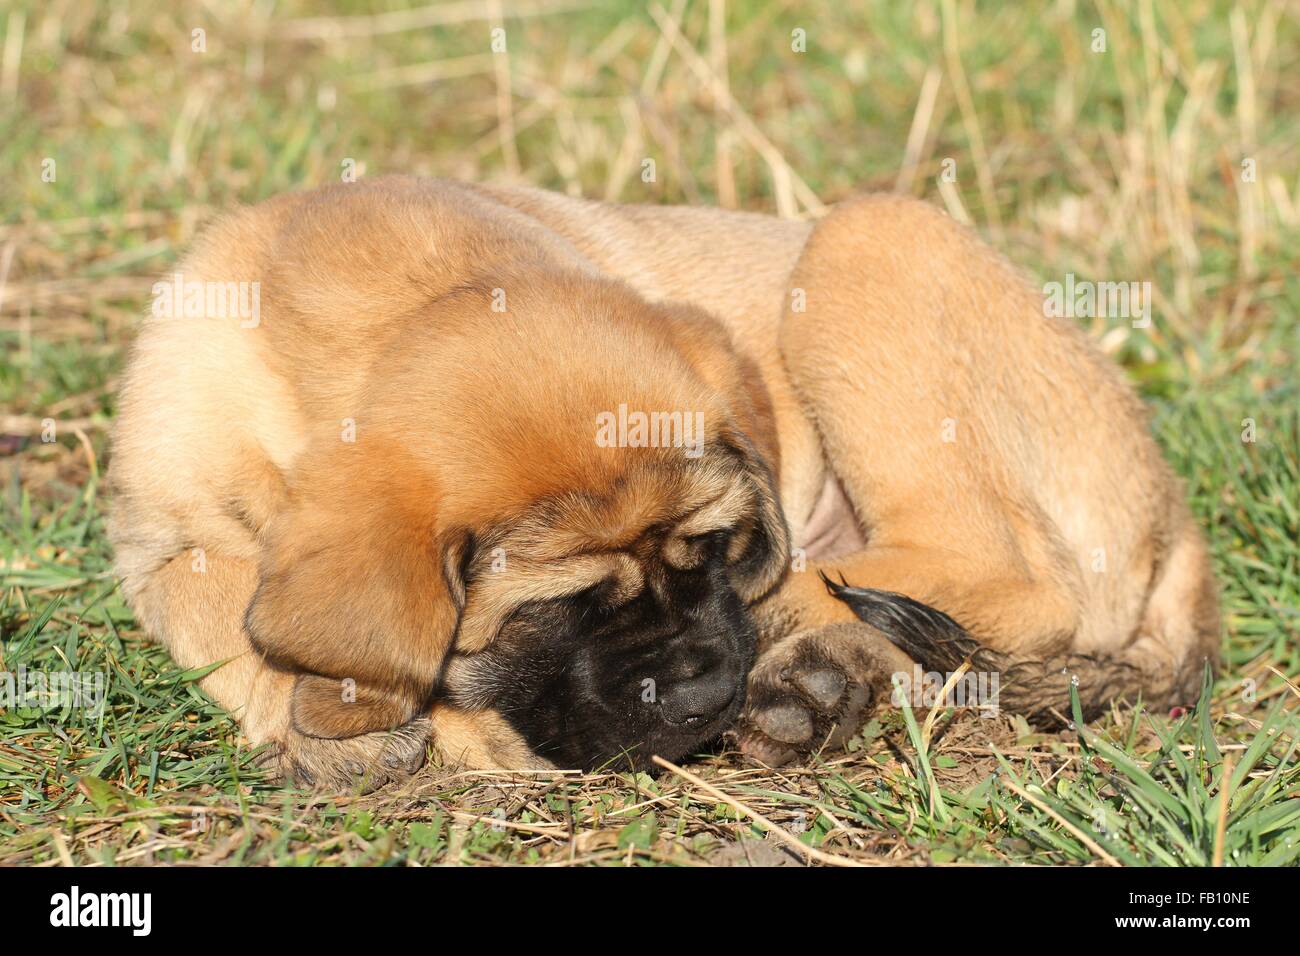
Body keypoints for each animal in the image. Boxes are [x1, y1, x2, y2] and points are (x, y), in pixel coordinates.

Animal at [109, 175, 1216, 790]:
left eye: (717, 550)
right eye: (554, 608)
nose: (699, 689)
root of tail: (1182, 531)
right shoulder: (159, 533)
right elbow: (218, 599)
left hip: (865, 241)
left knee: (1014, 583)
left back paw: (809, 646)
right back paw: (819, 683)